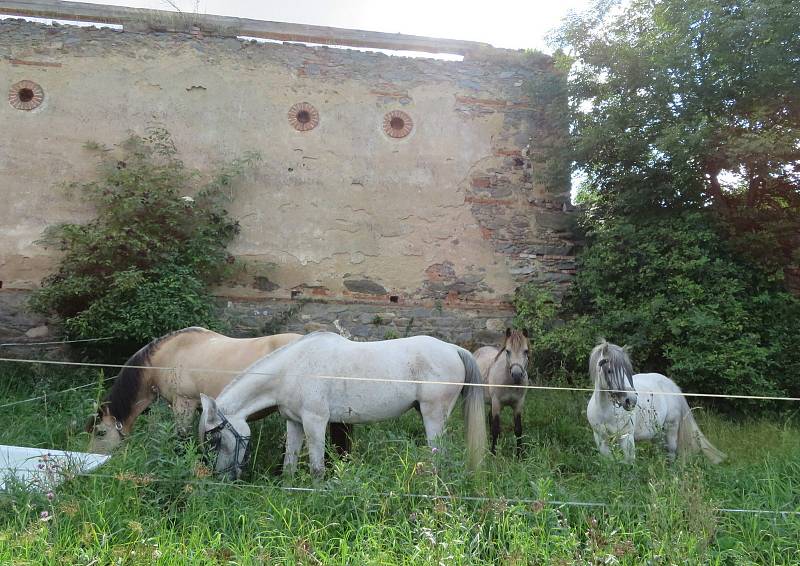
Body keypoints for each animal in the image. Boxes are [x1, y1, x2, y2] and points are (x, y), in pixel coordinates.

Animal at [200, 330, 488, 482]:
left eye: (217, 439)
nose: (221, 477)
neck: (292, 368)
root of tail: (453, 349)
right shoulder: (294, 423)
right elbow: (289, 465)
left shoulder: (315, 422)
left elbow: (317, 469)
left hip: (433, 416)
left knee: (439, 456)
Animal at [584, 342, 728, 466]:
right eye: (609, 370)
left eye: (627, 371)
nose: (631, 400)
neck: (604, 411)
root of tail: (671, 385)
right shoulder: (600, 439)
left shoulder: (626, 437)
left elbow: (629, 464)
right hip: (657, 432)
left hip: (671, 427)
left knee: (671, 451)